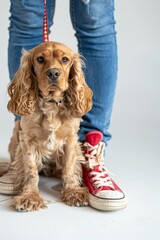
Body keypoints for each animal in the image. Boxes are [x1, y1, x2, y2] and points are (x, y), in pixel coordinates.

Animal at [7, 41, 92, 212]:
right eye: (40, 59)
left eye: (65, 59)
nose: (53, 73)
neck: (52, 105)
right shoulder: (27, 140)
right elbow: (31, 171)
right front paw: (30, 196)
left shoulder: (70, 140)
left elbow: (69, 168)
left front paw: (73, 191)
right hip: (15, 138)